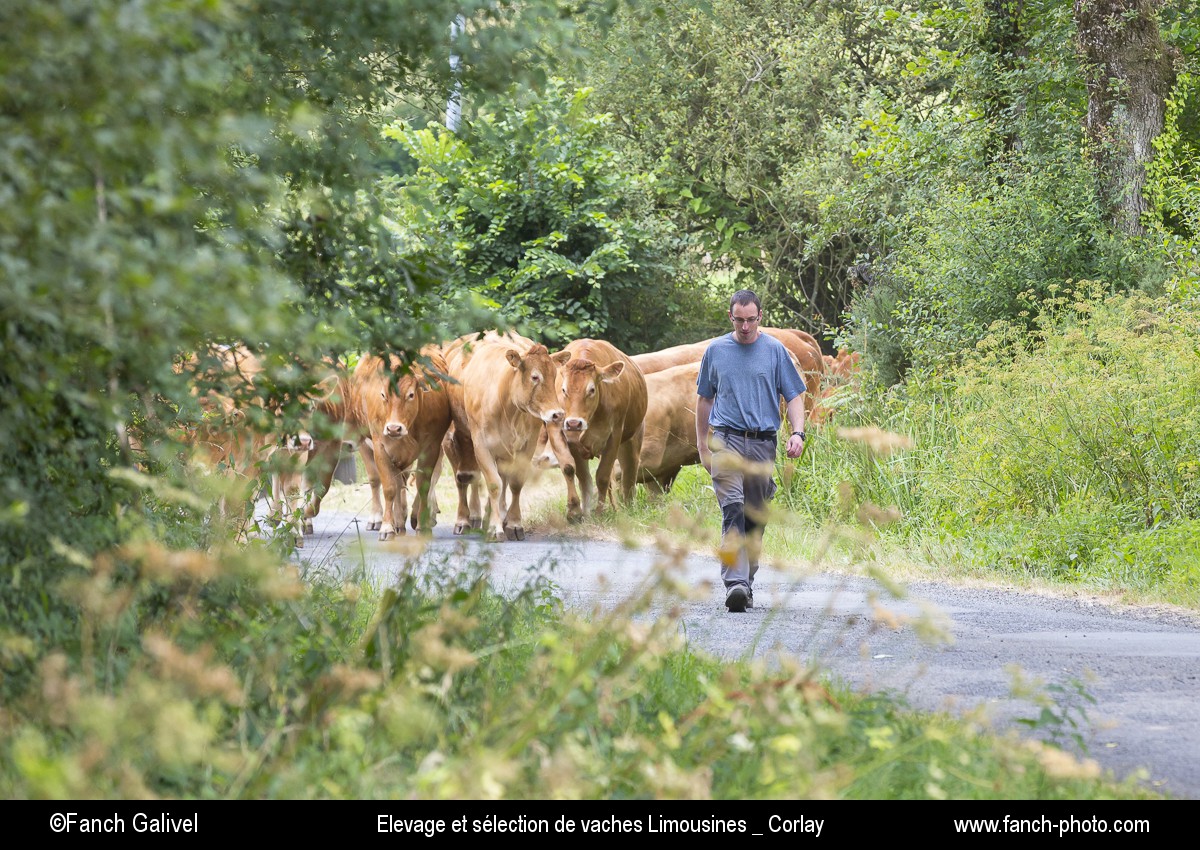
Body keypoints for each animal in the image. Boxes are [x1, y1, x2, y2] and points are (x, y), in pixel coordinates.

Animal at [449, 330, 565, 541]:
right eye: (535, 377)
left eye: (554, 376)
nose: (557, 414)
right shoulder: (481, 445)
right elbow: (493, 484)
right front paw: (495, 528)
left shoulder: (528, 445)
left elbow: (515, 483)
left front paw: (513, 524)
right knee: (465, 479)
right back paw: (466, 520)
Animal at [546, 339, 648, 521]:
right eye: (563, 390)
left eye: (591, 390)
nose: (574, 423)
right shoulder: (561, 432)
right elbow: (571, 469)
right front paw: (575, 511)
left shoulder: (615, 434)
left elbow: (603, 475)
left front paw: (600, 511)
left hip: (633, 437)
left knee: (629, 471)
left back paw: (626, 506)